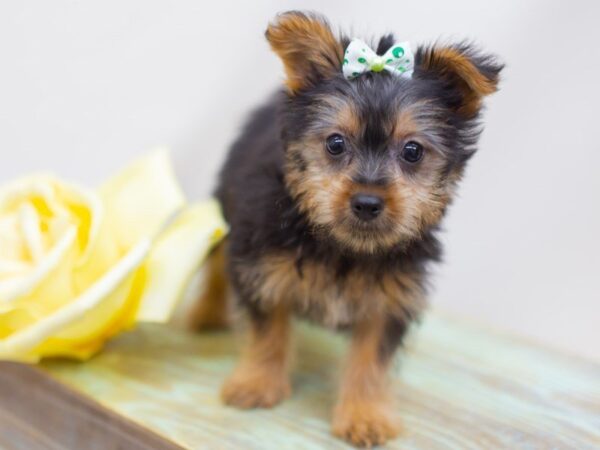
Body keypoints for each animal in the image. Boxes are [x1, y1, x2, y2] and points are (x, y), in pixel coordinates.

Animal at [192, 10, 502, 446]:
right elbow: (267, 330)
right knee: (217, 263)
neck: (344, 246)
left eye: (413, 151)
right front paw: (257, 384)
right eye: (335, 144)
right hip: (227, 207)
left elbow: (371, 359)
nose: (367, 202)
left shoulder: (391, 297)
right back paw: (206, 311)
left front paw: (365, 414)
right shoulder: (262, 267)